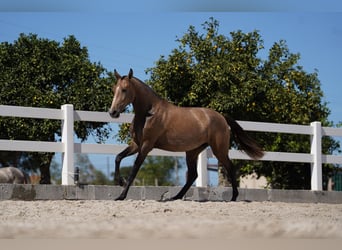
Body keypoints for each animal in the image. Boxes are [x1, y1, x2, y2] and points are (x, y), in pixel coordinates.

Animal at [108, 68, 264, 201]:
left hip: (218, 149)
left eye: (124, 89)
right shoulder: (136, 144)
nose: (112, 112)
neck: (149, 113)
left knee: (230, 168)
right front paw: (119, 181)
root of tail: (221, 117)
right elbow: (118, 157)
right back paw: (175, 197)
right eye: (114, 89)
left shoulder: (146, 146)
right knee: (193, 175)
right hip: (192, 151)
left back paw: (233, 197)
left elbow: (134, 169)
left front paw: (121, 195)